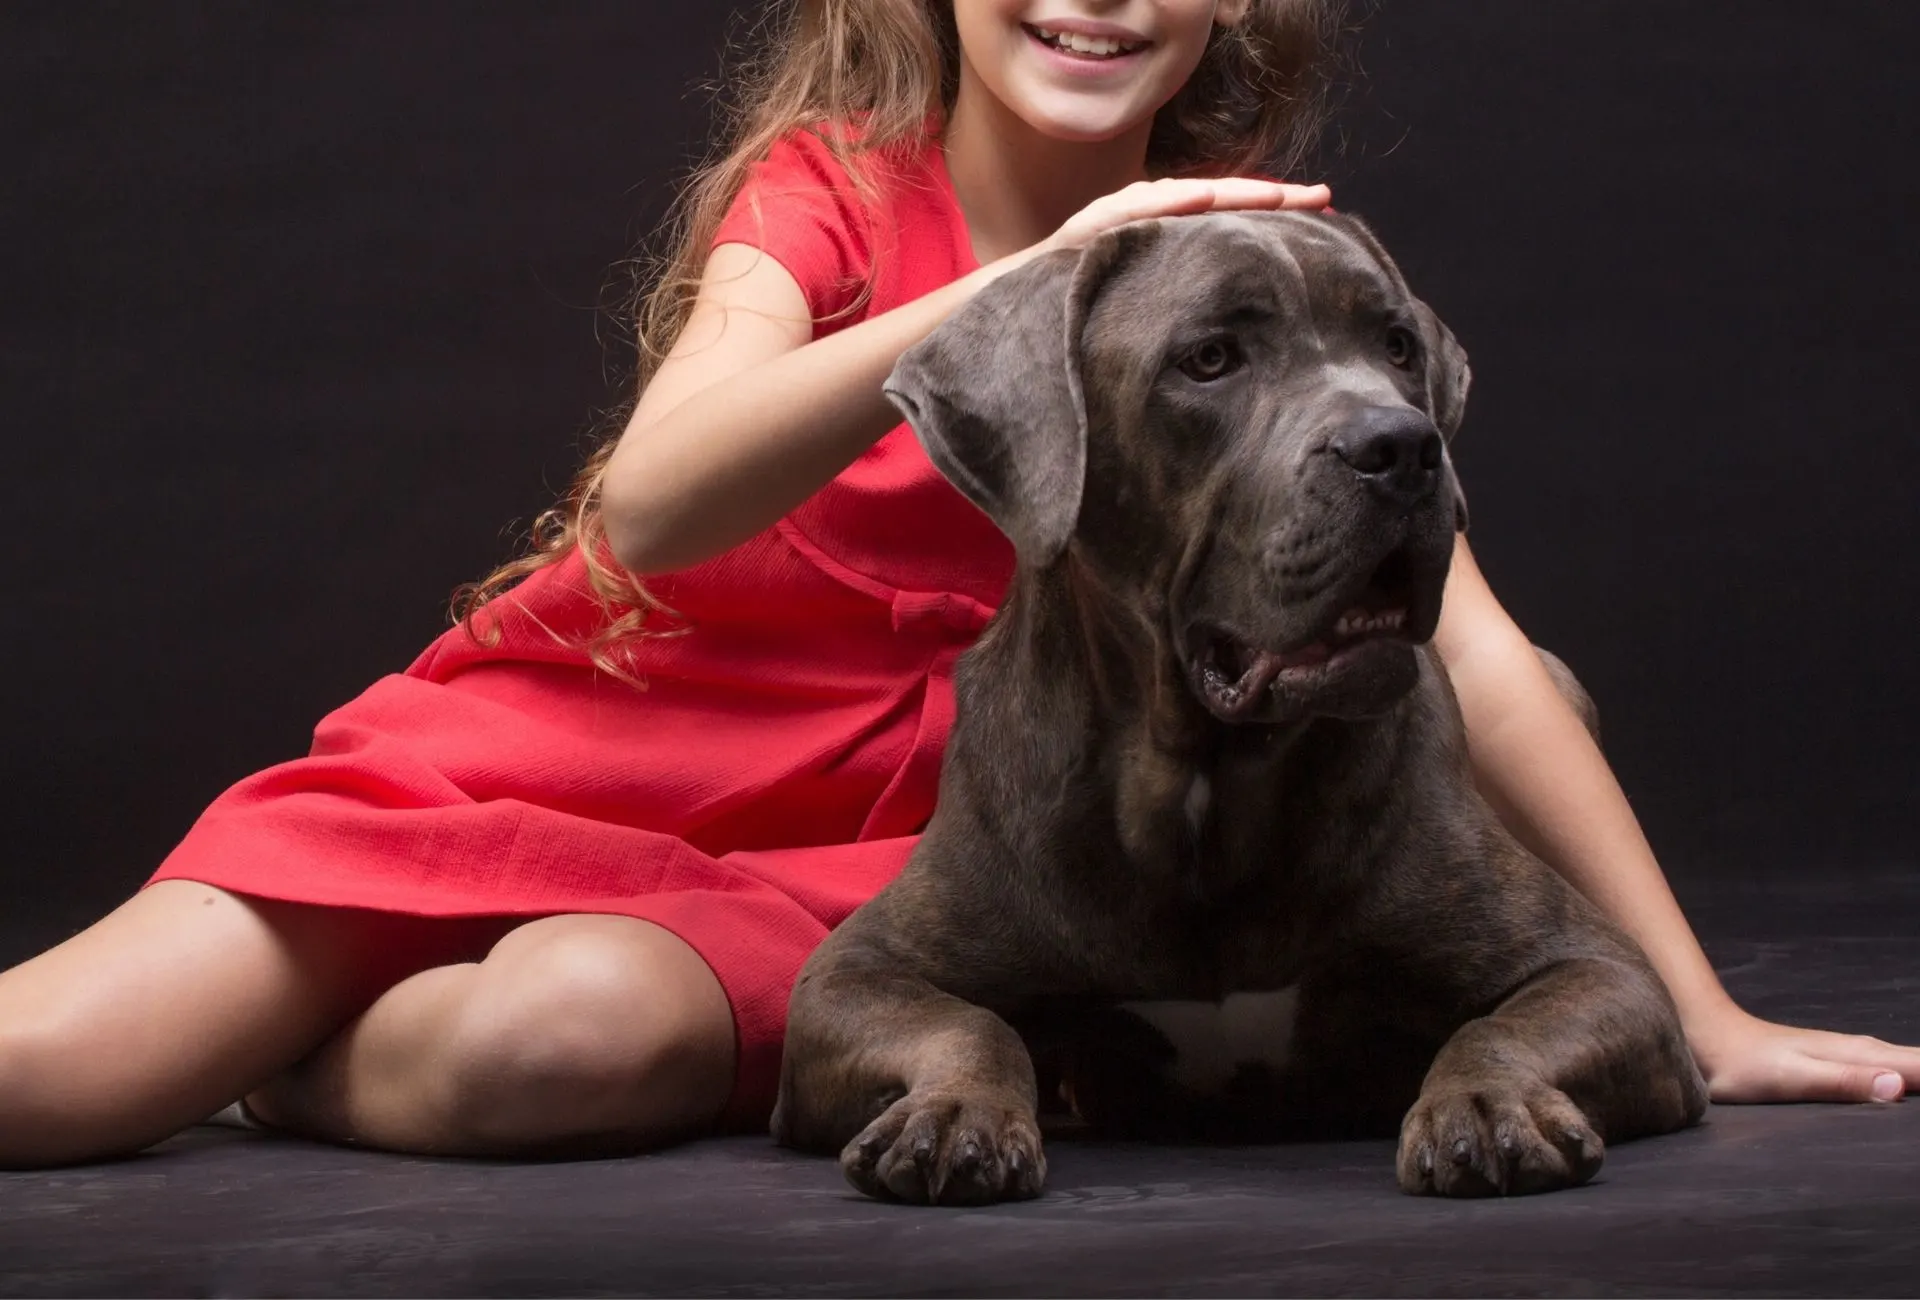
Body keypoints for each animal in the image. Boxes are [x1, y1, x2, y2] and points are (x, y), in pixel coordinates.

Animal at [771, 208, 1704, 1198]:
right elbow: (968, 1022)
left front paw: (1488, 1105)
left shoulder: (1599, 967)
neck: (1201, 782)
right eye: (1210, 359)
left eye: (1398, 345)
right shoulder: (856, 974)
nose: (1404, 446)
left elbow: (1500, 1023)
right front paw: (954, 1114)